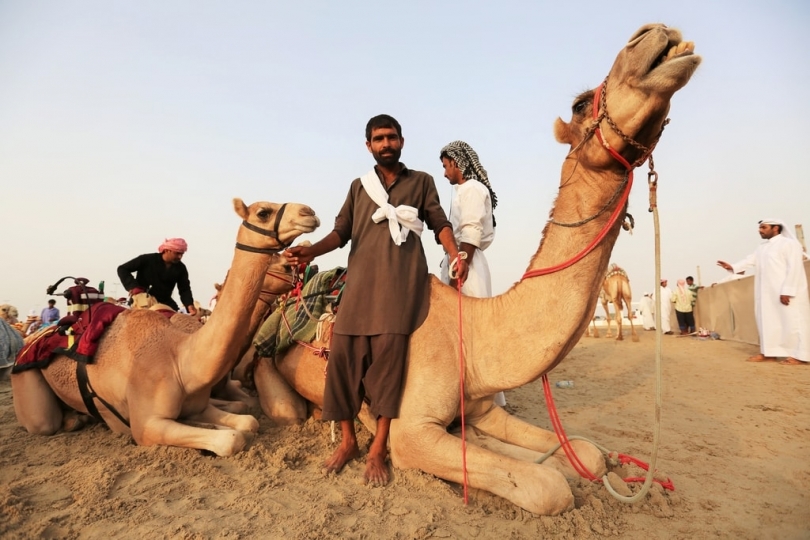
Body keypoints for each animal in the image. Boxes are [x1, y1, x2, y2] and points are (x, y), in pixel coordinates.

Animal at [12, 198, 318, 456]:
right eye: (263, 212)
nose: (309, 212)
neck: (180, 358)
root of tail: (30, 339)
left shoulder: (200, 404)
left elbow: (248, 420)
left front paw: (214, 425)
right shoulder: (146, 425)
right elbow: (231, 439)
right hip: (26, 385)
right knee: (44, 423)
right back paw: (70, 420)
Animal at [256, 24, 696, 516]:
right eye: (581, 104)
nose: (657, 35)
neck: (470, 335)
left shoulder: (482, 409)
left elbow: (584, 452)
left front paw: (589, 463)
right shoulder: (413, 431)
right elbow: (547, 485)